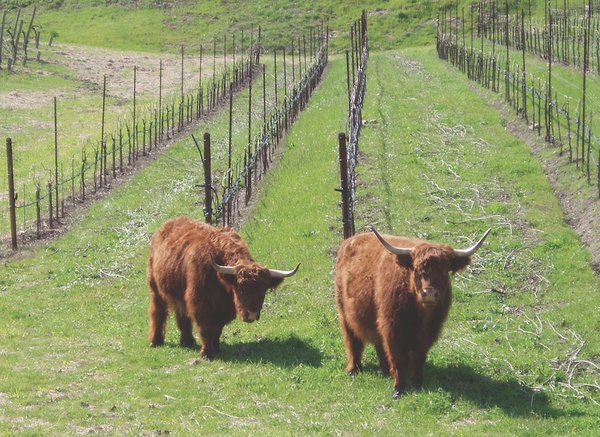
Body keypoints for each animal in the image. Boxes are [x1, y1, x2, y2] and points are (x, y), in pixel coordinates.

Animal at [148, 216, 298, 360]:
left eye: (263, 290)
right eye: (240, 289)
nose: (252, 314)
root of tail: (168, 223)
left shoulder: (223, 310)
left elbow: (217, 329)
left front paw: (216, 348)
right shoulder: (200, 303)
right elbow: (205, 329)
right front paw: (206, 353)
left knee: (182, 315)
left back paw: (187, 341)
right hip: (155, 288)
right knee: (157, 312)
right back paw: (155, 341)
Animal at [336, 227, 490, 396]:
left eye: (444, 271)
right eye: (416, 269)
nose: (429, 293)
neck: (420, 315)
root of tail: (349, 240)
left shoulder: (429, 332)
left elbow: (419, 357)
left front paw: (417, 382)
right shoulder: (391, 328)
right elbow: (397, 357)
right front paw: (398, 387)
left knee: (378, 344)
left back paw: (385, 370)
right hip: (344, 313)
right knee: (352, 341)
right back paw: (353, 369)